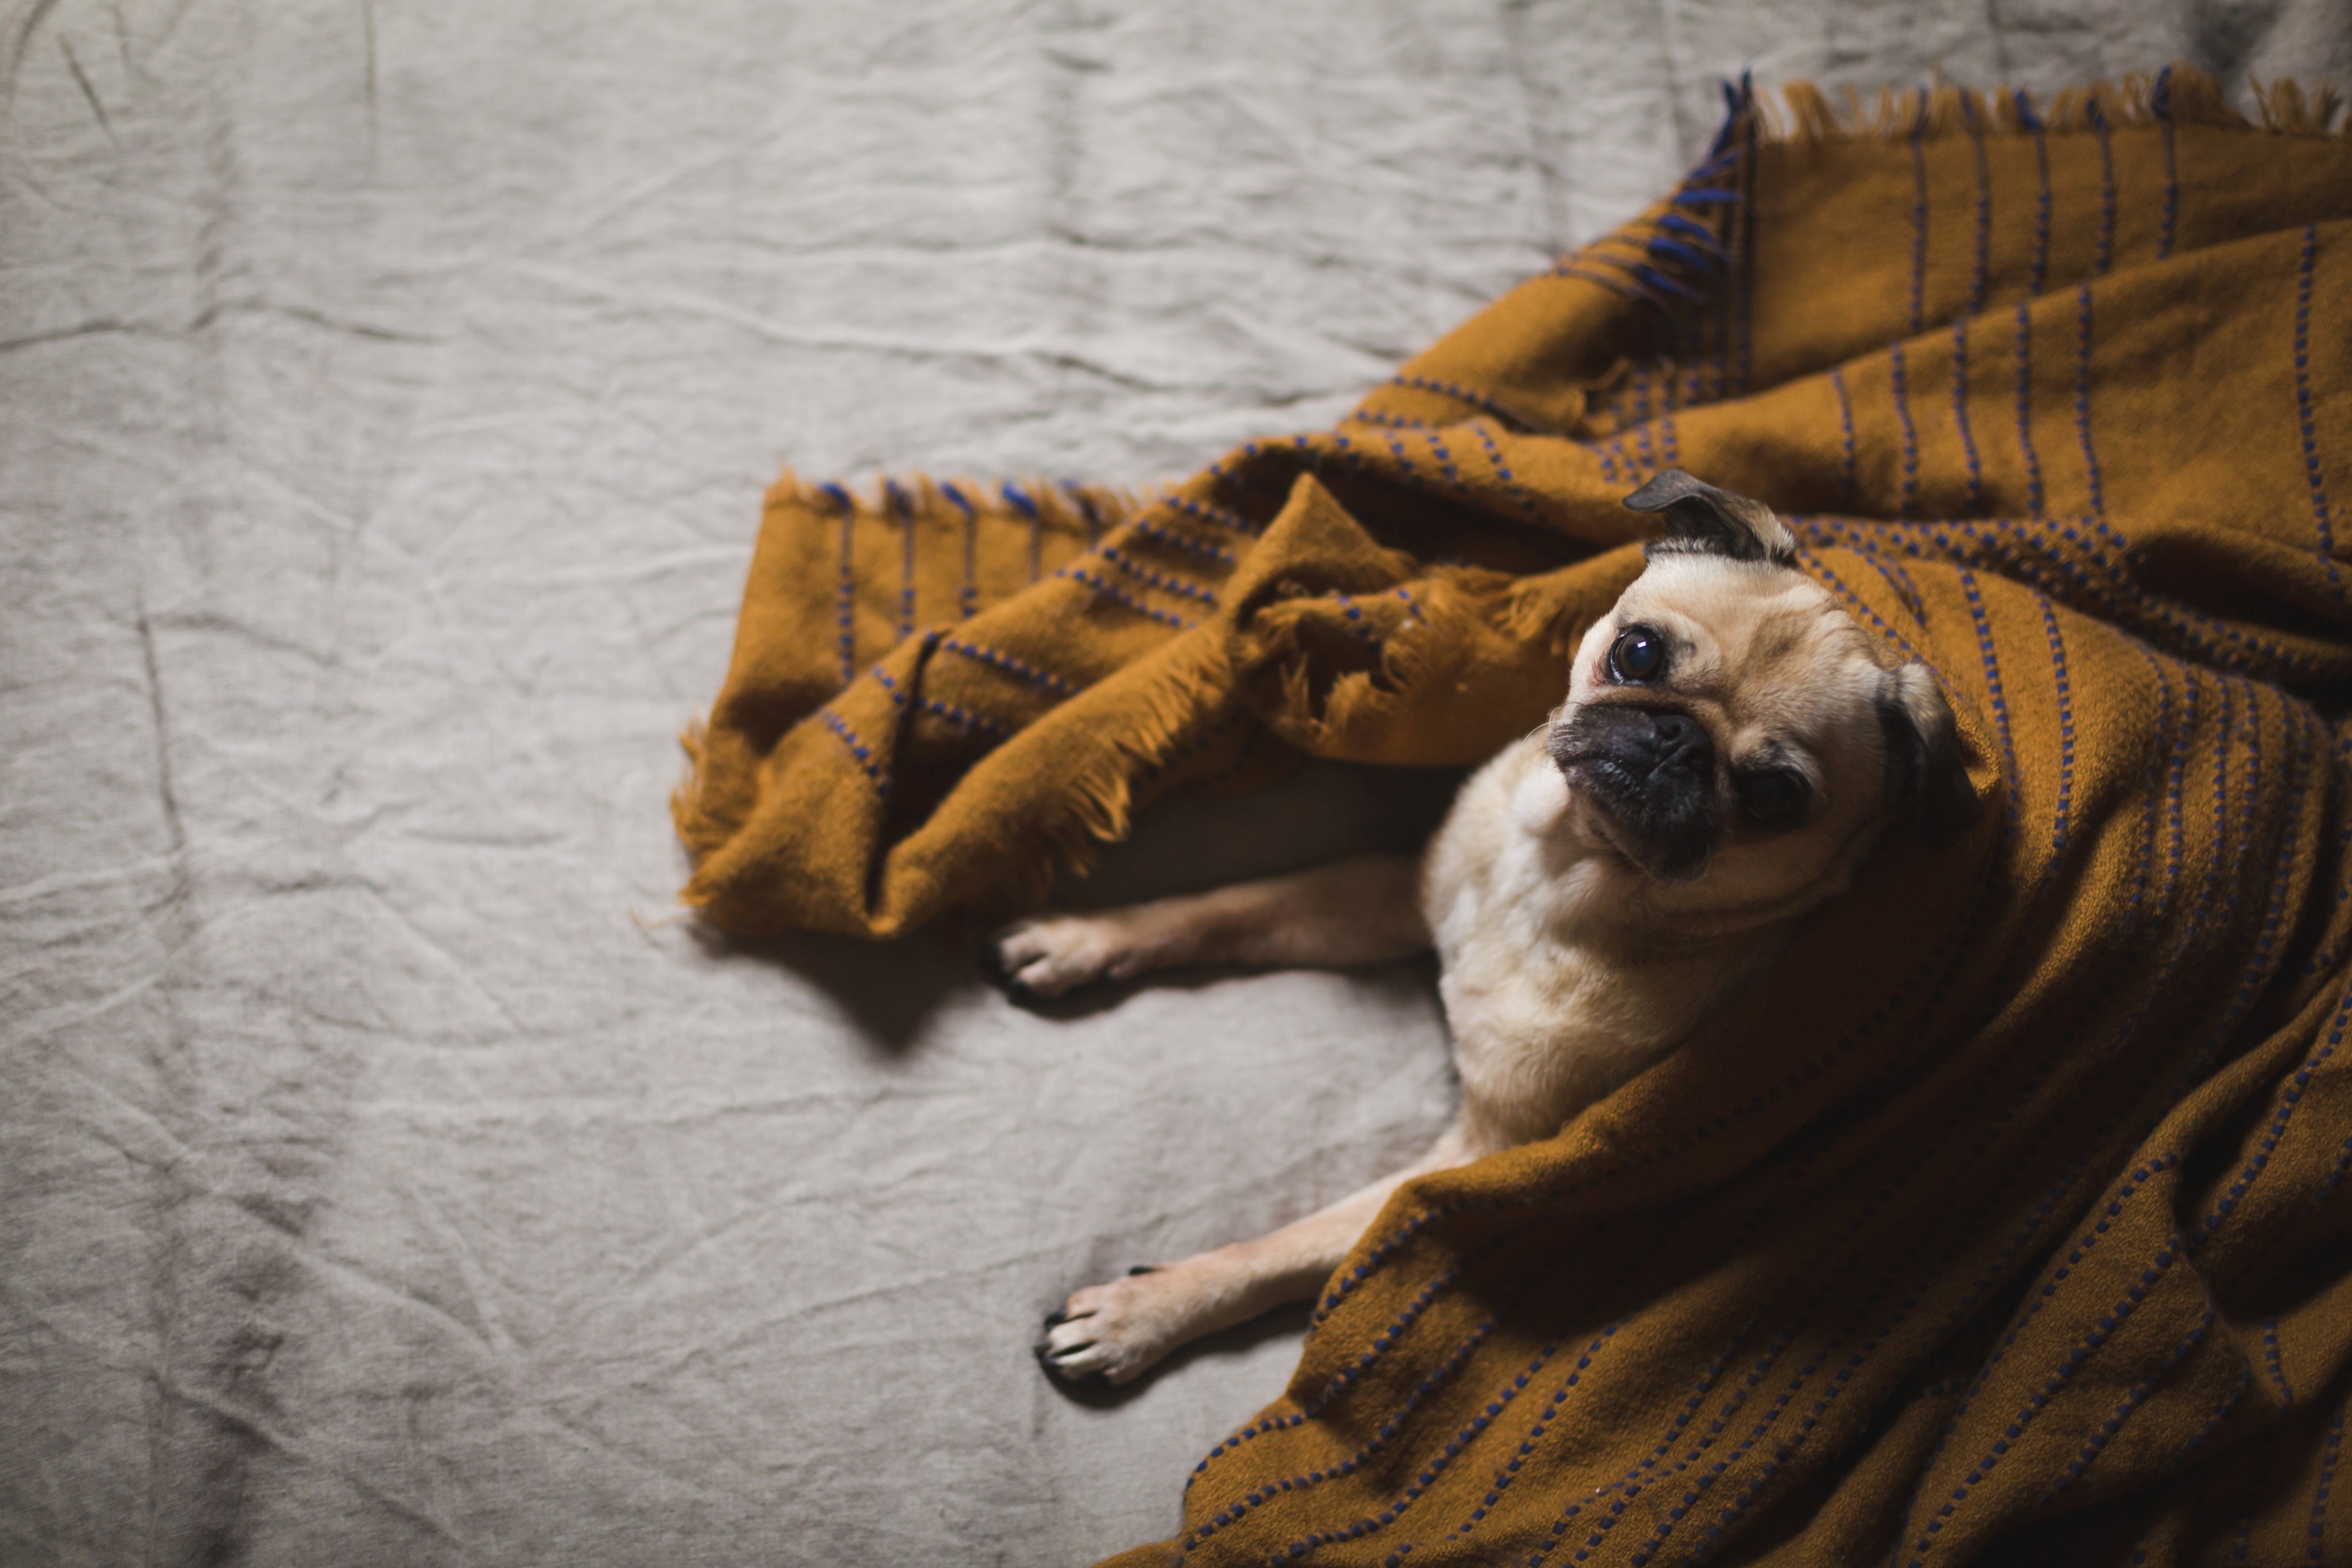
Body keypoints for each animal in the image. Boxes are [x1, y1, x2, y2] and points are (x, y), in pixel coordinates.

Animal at [997, 470, 1985, 1382]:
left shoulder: (1472, 1162)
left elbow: (1280, 1250)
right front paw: (1084, 939)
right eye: (1637, 653)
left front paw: (1144, 1313)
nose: (1675, 741)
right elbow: (1227, 909)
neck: (1561, 874)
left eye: (1776, 798)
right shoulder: (1389, 894)